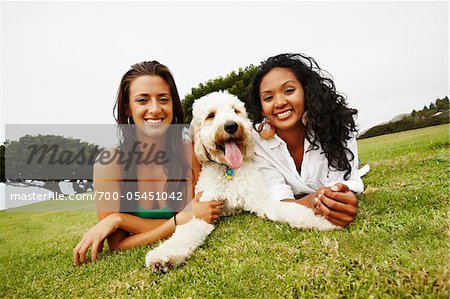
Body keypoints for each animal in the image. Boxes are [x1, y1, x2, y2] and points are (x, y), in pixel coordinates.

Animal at [146, 90, 336, 274]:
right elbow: (186, 231)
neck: (229, 169)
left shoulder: (261, 199)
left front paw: (321, 221)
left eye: (235, 111)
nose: (231, 126)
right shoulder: (204, 210)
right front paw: (162, 257)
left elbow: (289, 209)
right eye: (211, 115)